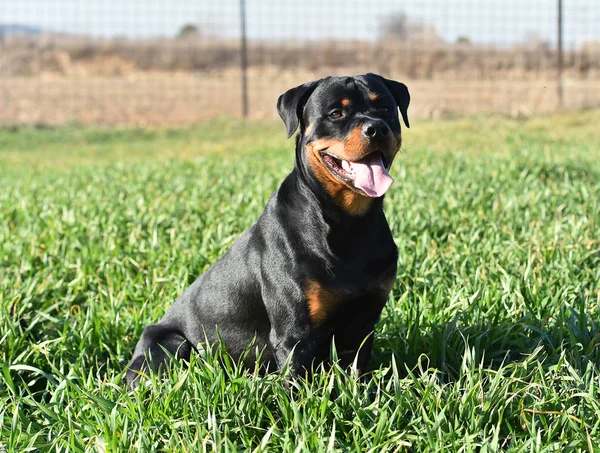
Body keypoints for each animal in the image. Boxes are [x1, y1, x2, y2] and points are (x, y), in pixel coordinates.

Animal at [125, 72, 408, 386]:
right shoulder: (294, 335)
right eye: (336, 113)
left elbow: (355, 374)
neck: (350, 223)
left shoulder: (363, 325)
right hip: (169, 345)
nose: (377, 128)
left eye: (384, 108)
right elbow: (298, 385)